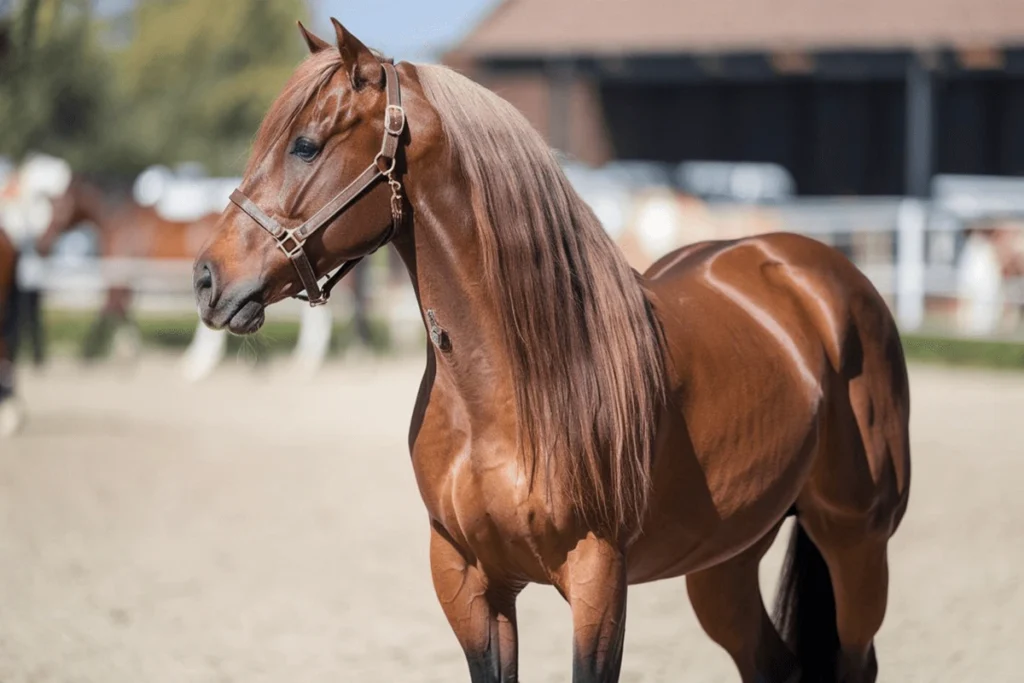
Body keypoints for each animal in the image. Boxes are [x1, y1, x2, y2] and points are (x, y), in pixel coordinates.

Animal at [192, 18, 913, 679]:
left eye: (306, 146)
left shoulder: (598, 577)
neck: (504, 386)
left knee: (857, 659)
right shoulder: (467, 577)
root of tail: (810, 267)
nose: (207, 279)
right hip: (725, 561)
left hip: (855, 542)